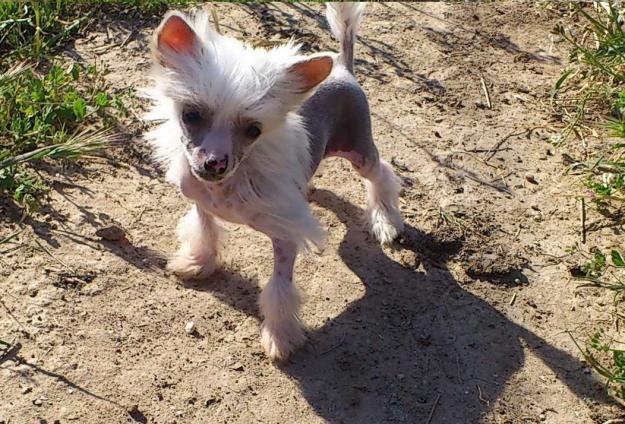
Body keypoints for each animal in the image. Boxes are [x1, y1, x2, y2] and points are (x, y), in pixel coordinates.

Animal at [144, 4, 402, 362]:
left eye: (254, 130)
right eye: (191, 115)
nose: (215, 163)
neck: (227, 186)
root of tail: (342, 66)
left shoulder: (285, 237)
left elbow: (279, 289)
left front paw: (279, 336)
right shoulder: (200, 202)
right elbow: (205, 231)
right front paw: (198, 262)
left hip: (359, 151)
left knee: (382, 175)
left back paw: (385, 220)